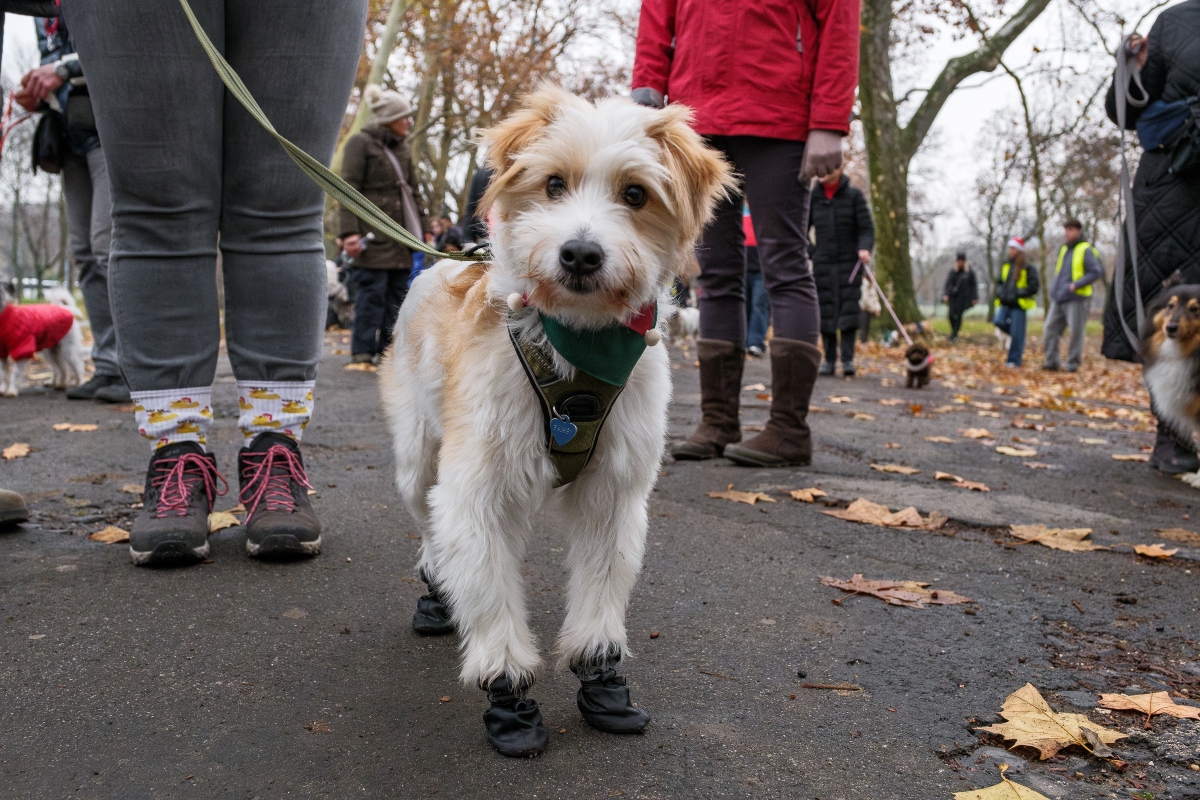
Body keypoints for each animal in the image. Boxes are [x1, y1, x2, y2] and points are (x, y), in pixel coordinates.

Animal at [379, 86, 729, 758]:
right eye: (554, 184)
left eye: (636, 194)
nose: (581, 253)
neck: (577, 345)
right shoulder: (477, 488)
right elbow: (489, 590)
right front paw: (508, 691)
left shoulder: (614, 492)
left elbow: (602, 583)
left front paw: (601, 675)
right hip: (417, 459)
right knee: (430, 529)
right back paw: (438, 591)